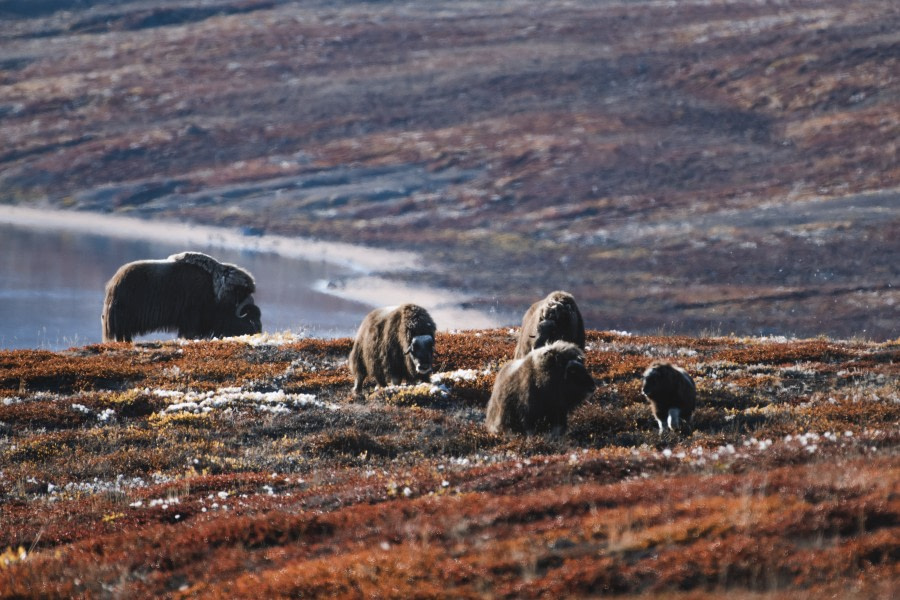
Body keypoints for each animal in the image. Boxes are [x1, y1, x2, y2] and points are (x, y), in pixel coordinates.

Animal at [104, 250, 264, 342]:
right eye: (250, 317)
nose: (258, 332)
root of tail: (114, 282)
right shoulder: (191, 317)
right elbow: (188, 333)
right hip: (124, 320)